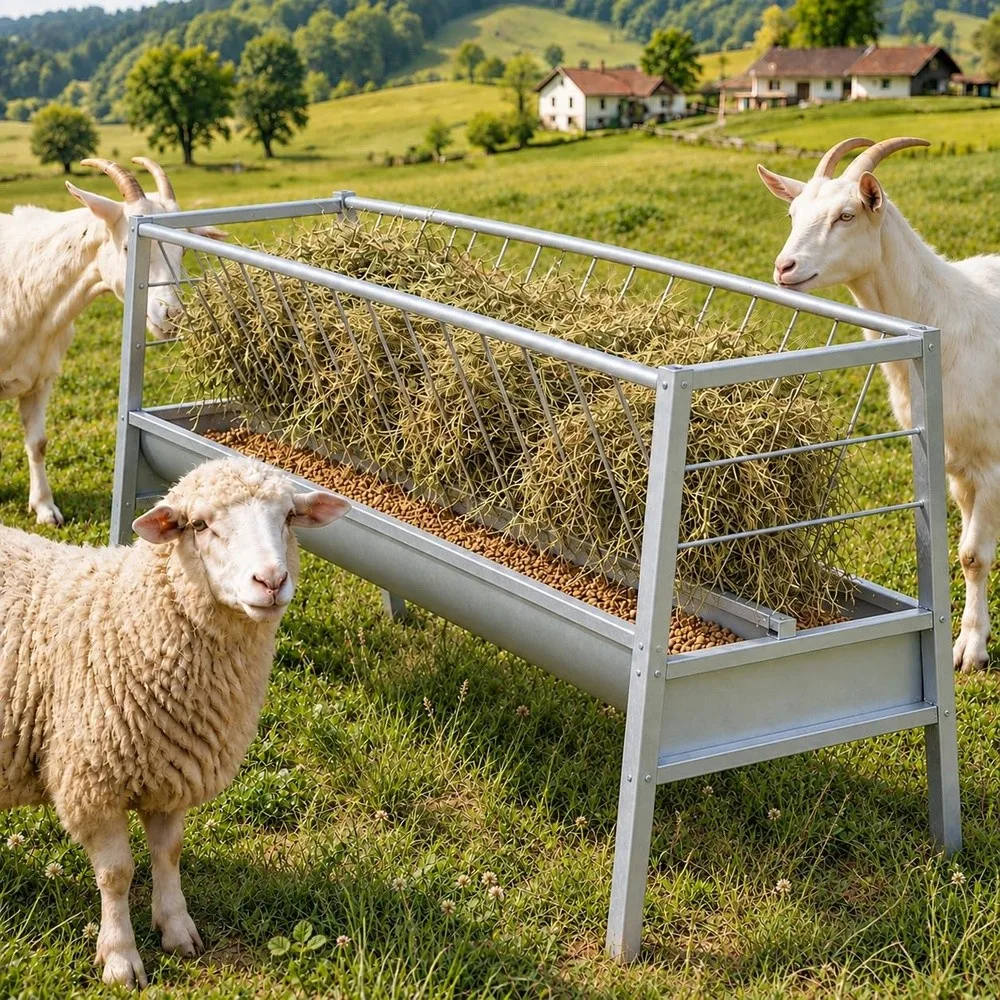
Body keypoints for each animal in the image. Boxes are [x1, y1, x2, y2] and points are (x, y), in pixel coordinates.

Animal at [0, 157, 225, 526]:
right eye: (127, 247)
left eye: (182, 252)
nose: (172, 315)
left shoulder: (41, 378)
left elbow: (38, 443)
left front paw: (45, 508)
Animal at [758, 136, 1000, 672]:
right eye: (792, 213)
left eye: (846, 215)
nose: (784, 267)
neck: (946, 314)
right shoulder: (956, 466)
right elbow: (968, 553)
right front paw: (970, 639)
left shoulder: (992, 460)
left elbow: (975, 555)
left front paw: (971, 651)